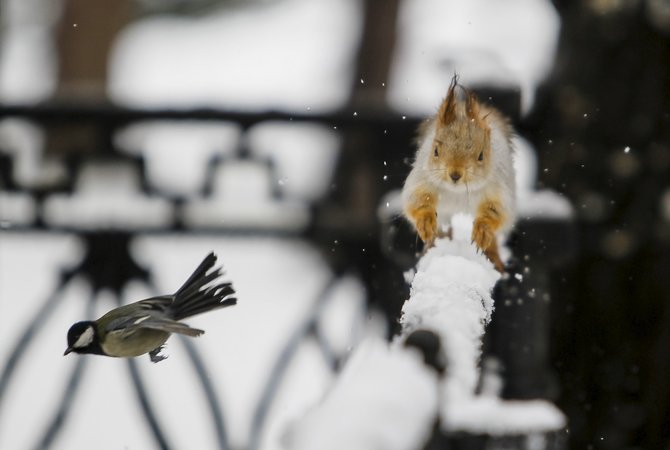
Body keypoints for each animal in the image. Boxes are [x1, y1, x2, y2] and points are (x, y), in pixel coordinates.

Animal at [402, 76, 516, 270]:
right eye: (435, 151)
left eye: (481, 156)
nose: (455, 174)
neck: (459, 192)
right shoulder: (422, 180)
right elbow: (416, 202)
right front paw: (425, 222)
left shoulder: (498, 190)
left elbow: (495, 212)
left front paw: (483, 230)